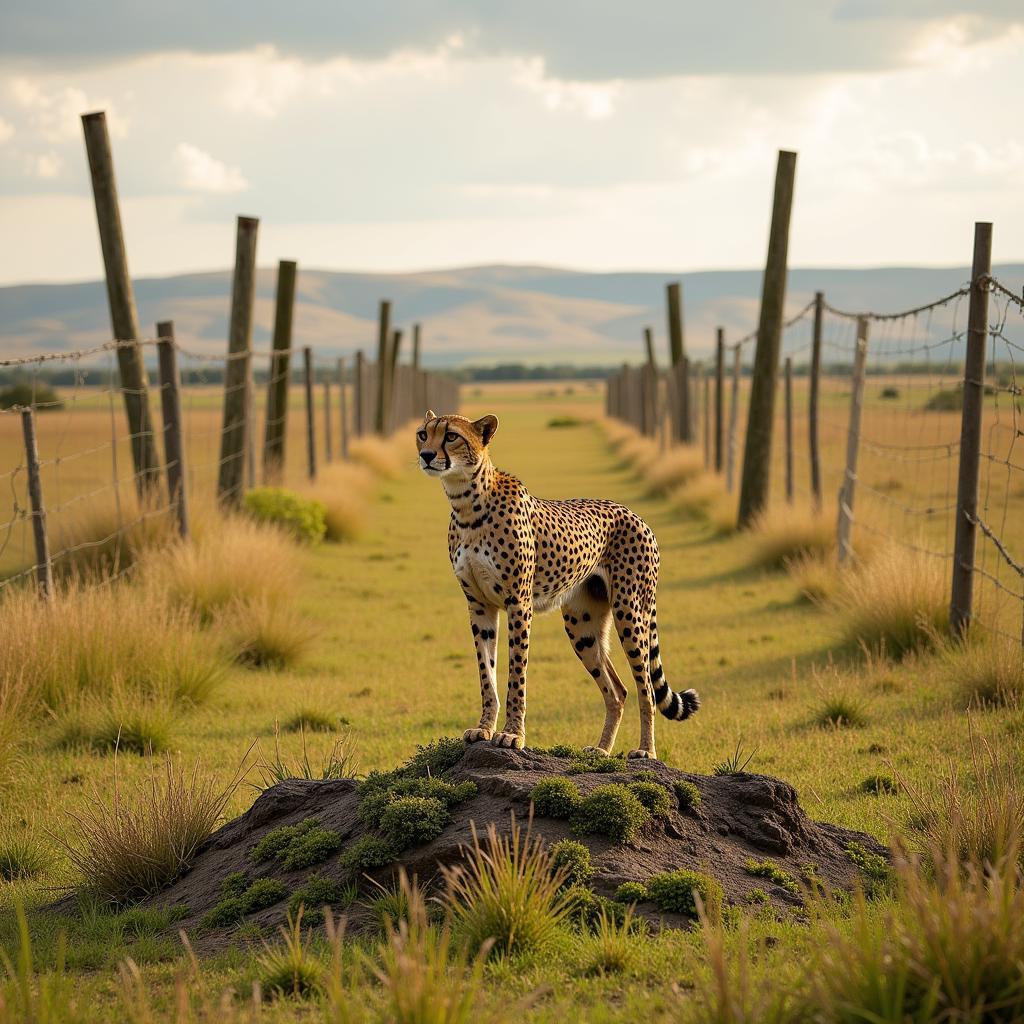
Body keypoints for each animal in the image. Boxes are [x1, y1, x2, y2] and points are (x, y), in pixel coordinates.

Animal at [413, 409, 696, 761]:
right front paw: (483, 728)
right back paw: (600, 751)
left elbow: (516, 675)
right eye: (423, 434)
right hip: (582, 625)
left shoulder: (519, 603)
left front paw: (512, 735)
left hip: (629, 611)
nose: (426, 455)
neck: (467, 505)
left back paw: (645, 751)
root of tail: (636, 515)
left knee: (645, 686)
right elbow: (486, 674)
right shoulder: (479, 605)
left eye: (451, 436)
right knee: (617, 690)